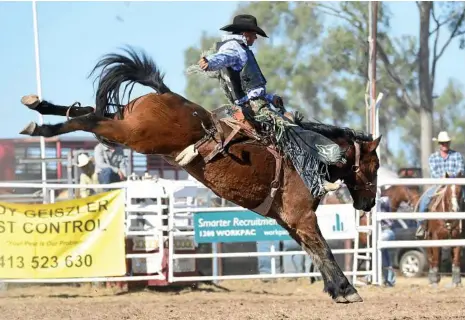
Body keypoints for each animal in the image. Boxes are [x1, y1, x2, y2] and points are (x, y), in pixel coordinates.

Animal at [18, 47, 380, 302]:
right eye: (374, 167)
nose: (369, 204)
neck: (311, 154)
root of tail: (166, 93)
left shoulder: (290, 221)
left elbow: (315, 253)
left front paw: (337, 289)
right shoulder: (301, 216)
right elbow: (324, 250)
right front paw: (347, 290)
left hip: (125, 121)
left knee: (89, 111)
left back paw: (39, 107)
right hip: (133, 133)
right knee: (89, 119)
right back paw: (41, 126)